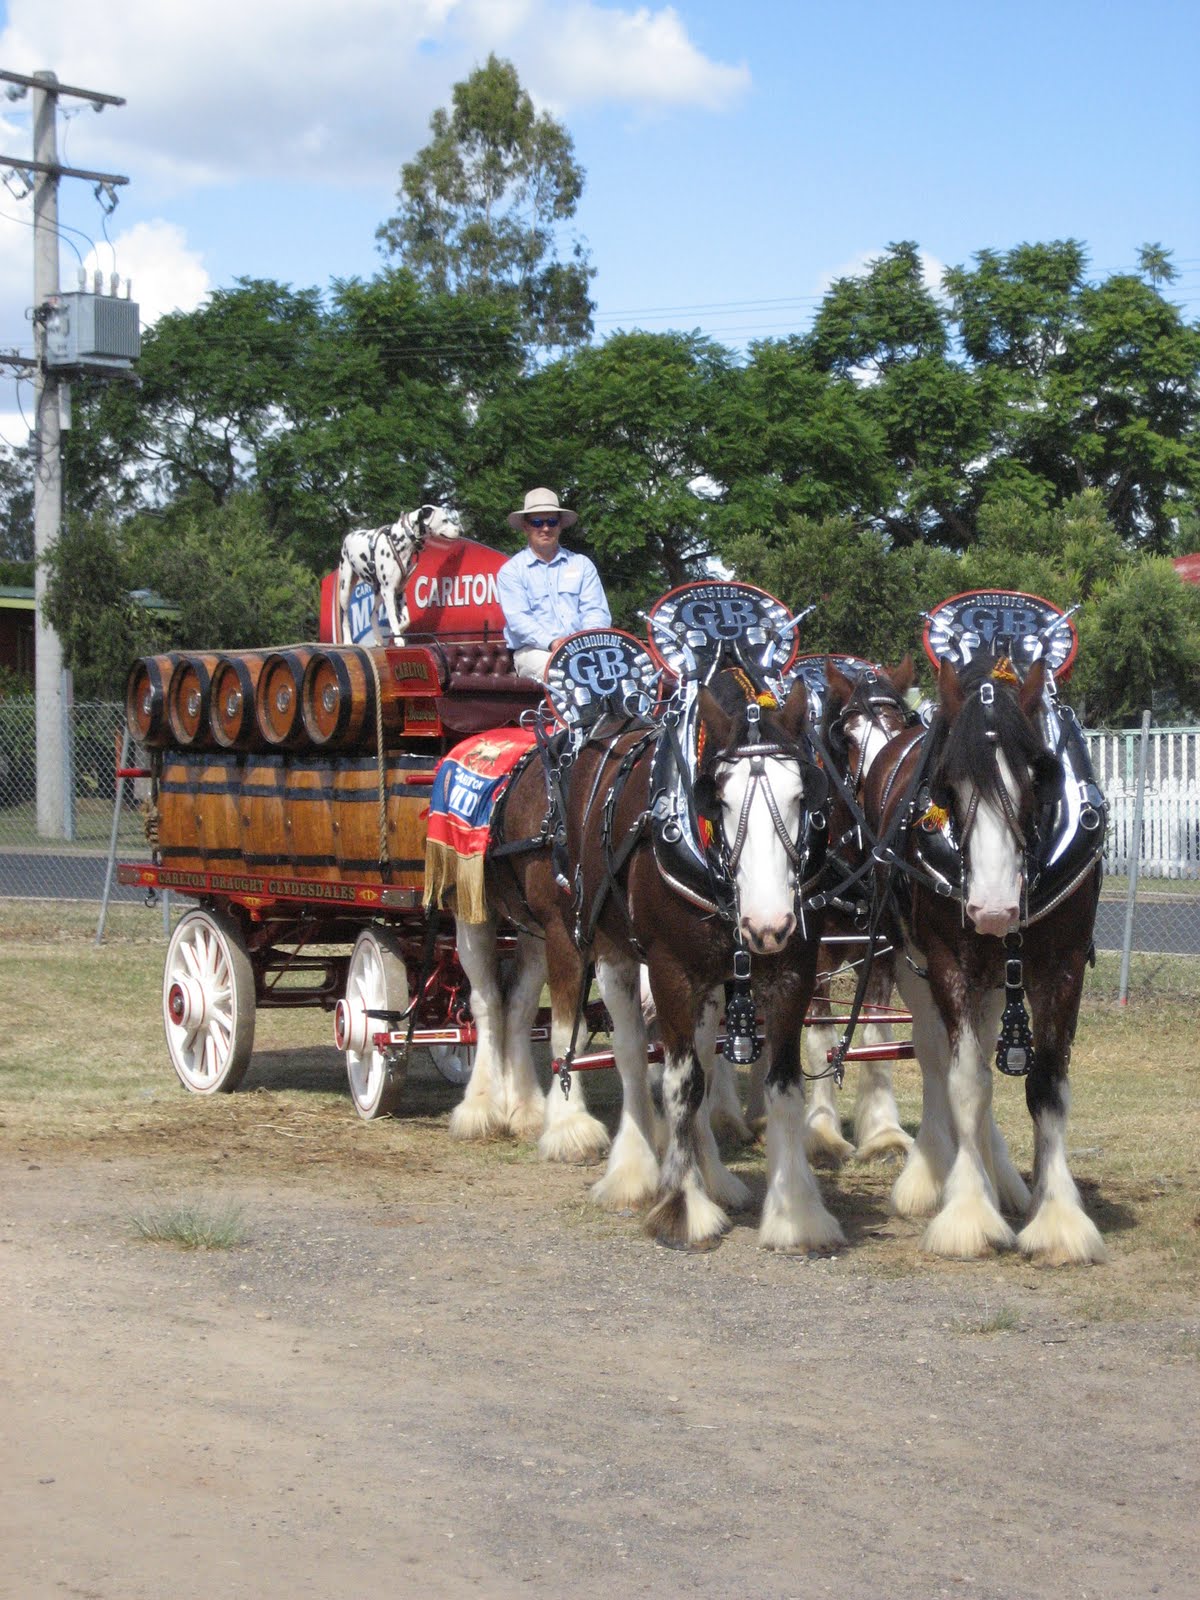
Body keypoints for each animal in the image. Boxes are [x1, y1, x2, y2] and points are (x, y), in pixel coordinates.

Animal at [860, 652, 1106, 1263]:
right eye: (947, 785)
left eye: (1039, 772)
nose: (993, 909)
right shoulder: (950, 964)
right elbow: (965, 1081)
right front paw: (968, 1212)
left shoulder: (1062, 968)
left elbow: (1047, 1086)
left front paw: (1058, 1216)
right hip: (912, 960)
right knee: (932, 1054)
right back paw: (931, 1174)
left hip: (997, 982)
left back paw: (1007, 1182)